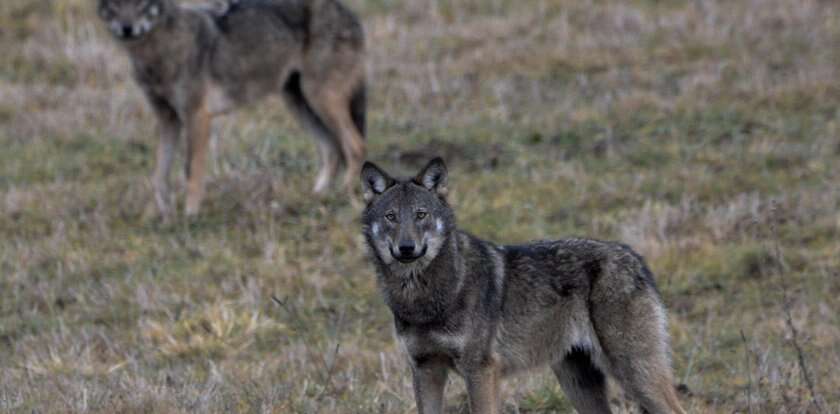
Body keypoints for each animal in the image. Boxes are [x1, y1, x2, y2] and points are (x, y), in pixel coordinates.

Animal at [96, 0, 364, 218]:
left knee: (354, 145)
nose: (127, 28)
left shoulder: (197, 116)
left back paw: (344, 193)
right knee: (332, 149)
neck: (158, 52)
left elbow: (191, 171)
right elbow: (159, 175)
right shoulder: (167, 120)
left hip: (319, 99)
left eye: (140, 2)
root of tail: (349, 13)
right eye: (115, 4)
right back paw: (317, 196)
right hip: (299, 102)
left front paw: (190, 215)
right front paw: (163, 216)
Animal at [362, 157, 688, 412]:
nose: (406, 248)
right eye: (391, 217)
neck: (424, 298)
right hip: (578, 382)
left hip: (634, 373)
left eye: (421, 215)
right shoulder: (425, 368)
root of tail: (635, 257)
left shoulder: (480, 371)